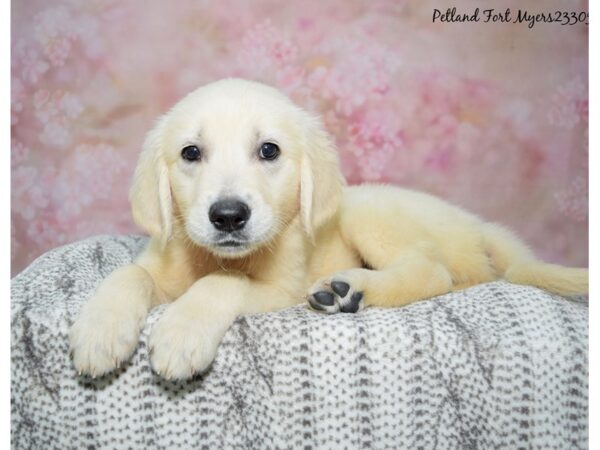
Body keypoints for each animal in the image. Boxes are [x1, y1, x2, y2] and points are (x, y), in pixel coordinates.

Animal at [69, 78, 584, 380]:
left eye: (269, 151)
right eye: (191, 153)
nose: (229, 216)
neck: (213, 255)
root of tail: (478, 224)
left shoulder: (283, 288)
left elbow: (223, 282)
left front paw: (181, 333)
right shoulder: (161, 262)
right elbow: (128, 274)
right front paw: (100, 330)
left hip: (368, 210)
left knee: (432, 271)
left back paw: (350, 289)